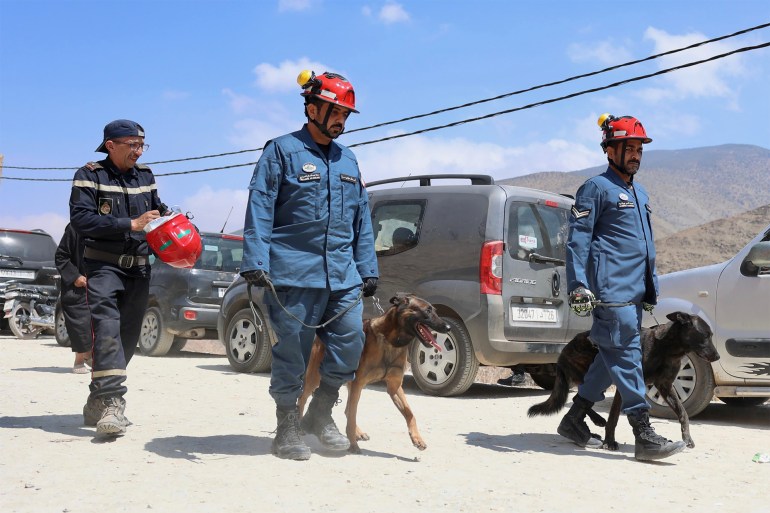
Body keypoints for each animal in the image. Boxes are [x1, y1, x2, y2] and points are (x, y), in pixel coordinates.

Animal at [296, 292, 448, 452]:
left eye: (434, 310)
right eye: (427, 311)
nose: (448, 327)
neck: (391, 341)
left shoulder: (394, 387)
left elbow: (410, 413)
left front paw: (417, 438)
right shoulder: (359, 384)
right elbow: (352, 416)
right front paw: (352, 443)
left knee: (347, 409)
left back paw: (358, 432)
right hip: (315, 378)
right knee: (303, 399)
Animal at [524, 308, 716, 448]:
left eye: (711, 335)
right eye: (705, 335)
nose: (718, 356)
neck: (667, 349)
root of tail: (563, 351)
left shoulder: (665, 387)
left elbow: (683, 413)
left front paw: (687, 438)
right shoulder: (626, 385)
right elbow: (614, 417)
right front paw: (610, 442)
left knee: (578, 397)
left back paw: (590, 428)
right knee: (580, 397)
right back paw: (594, 423)